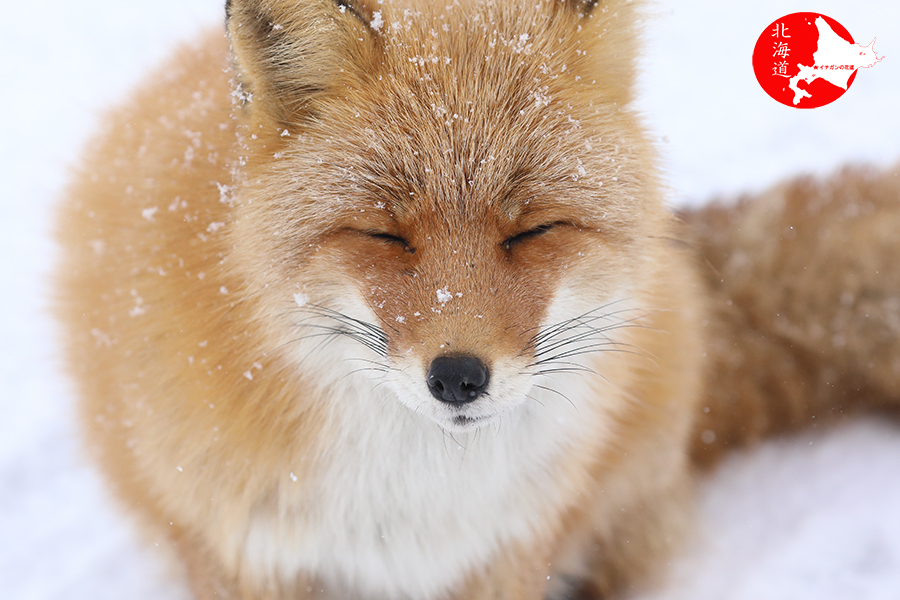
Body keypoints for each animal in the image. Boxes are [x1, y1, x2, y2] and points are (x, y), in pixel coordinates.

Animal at [56, 1, 900, 600]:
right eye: (385, 234)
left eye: (531, 231)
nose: (459, 377)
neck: (408, 496)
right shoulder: (245, 551)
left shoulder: (508, 549)